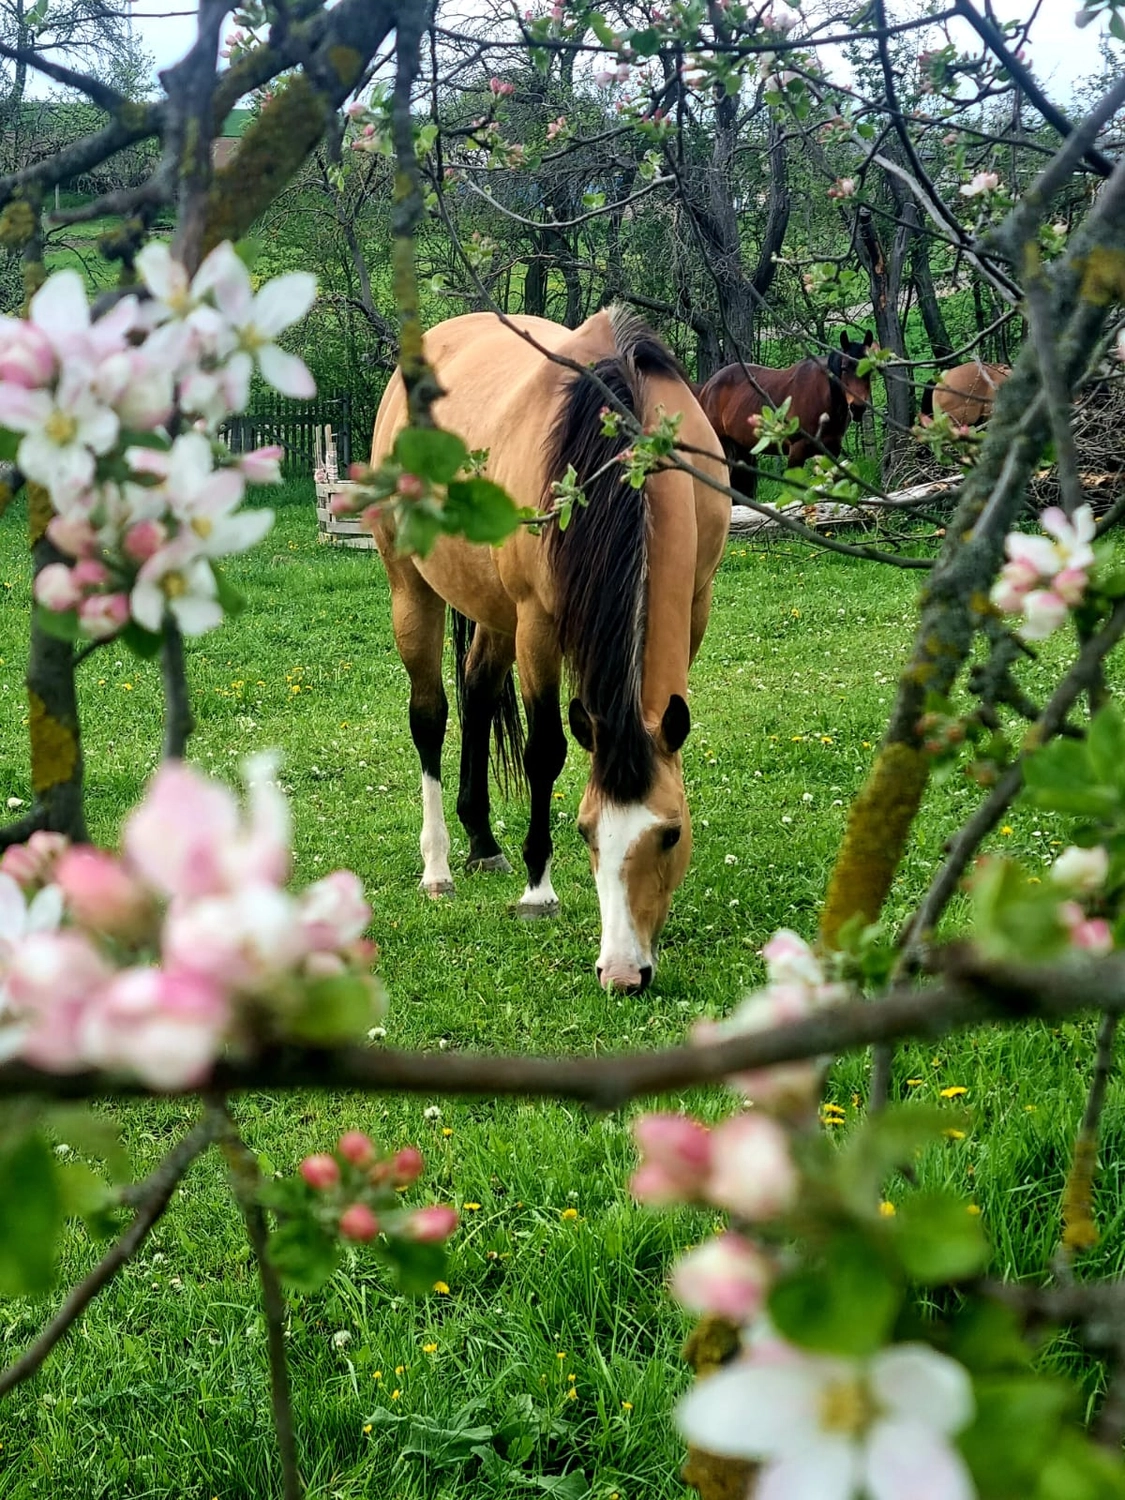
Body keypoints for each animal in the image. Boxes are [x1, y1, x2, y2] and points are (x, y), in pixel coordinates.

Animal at [368, 307, 730, 993]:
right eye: (586, 832)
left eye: (671, 834)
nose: (623, 973)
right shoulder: (537, 621)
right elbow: (544, 752)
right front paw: (540, 890)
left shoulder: (697, 604)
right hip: (413, 588)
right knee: (430, 715)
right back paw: (439, 867)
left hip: (493, 610)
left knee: (479, 691)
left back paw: (483, 842)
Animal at [696, 330, 875, 500]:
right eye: (844, 368)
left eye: (870, 370)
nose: (858, 407)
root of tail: (707, 387)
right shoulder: (797, 451)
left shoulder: (830, 451)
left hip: (742, 449)